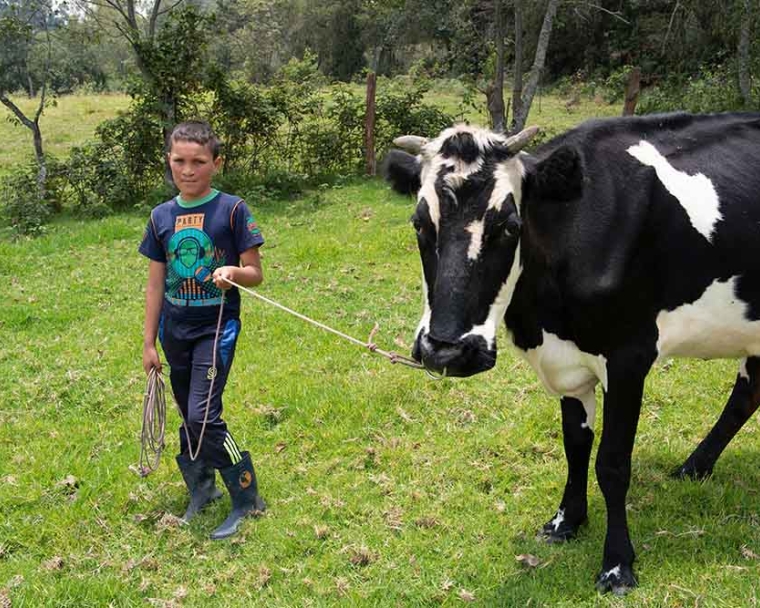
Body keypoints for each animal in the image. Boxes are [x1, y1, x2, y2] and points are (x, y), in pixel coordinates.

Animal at [382, 113, 760, 592]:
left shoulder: (629, 355)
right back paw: (694, 467)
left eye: (510, 226)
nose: (447, 351)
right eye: (418, 223)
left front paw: (617, 565)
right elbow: (575, 444)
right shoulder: (566, 360)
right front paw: (566, 522)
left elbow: (612, 463)